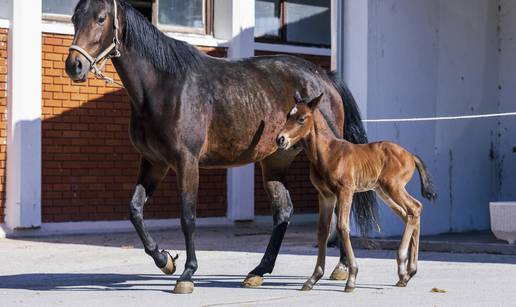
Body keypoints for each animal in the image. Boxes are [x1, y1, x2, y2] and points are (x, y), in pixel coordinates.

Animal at [66, 0, 376, 294]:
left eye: (101, 18)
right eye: (74, 17)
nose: (74, 66)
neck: (164, 86)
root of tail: (324, 78)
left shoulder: (186, 162)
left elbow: (188, 217)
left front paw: (187, 274)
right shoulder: (153, 162)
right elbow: (134, 210)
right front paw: (165, 260)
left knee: (335, 206)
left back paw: (340, 267)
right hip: (275, 161)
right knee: (283, 211)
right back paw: (259, 271)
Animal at [276, 94, 438, 294]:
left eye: (301, 119)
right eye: (288, 116)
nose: (280, 139)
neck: (327, 153)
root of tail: (410, 155)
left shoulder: (345, 191)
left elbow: (342, 227)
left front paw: (352, 277)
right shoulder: (325, 195)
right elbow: (322, 231)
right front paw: (313, 278)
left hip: (393, 187)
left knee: (414, 208)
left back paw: (404, 267)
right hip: (384, 191)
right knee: (409, 213)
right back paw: (408, 272)